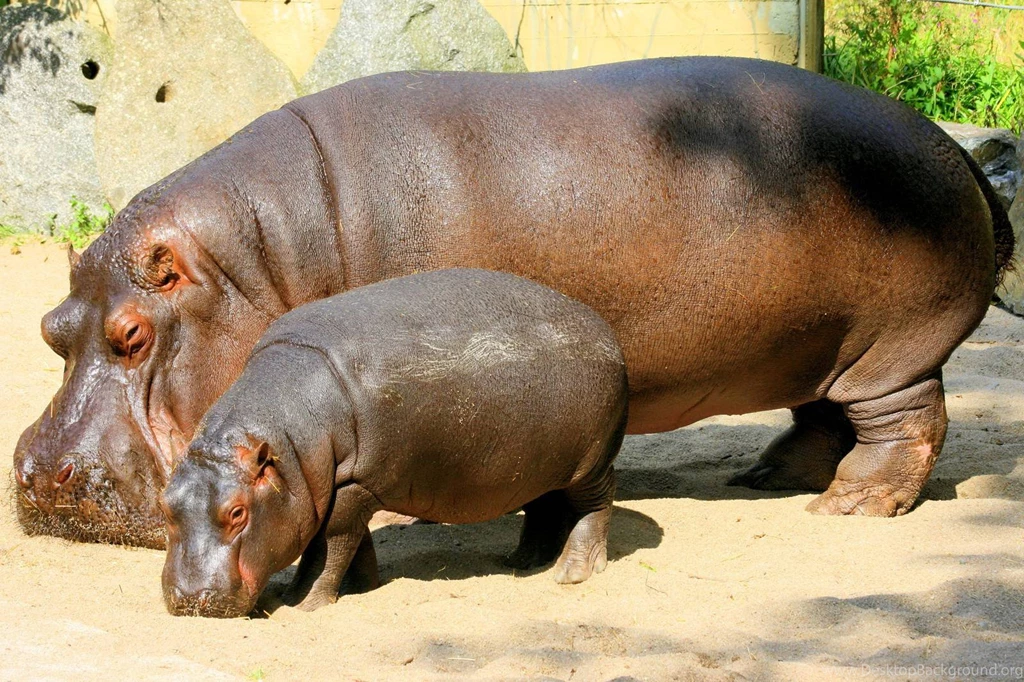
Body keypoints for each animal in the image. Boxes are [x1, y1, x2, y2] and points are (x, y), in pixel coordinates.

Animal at [14, 56, 1015, 547]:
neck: (261, 256)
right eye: (51, 329)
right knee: (822, 415)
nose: (32, 474)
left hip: (892, 347)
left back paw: (848, 509)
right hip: (815, 341)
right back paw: (768, 475)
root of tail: (963, 153)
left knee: (906, 424)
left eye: (131, 334)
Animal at [160, 269, 627, 617]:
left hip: (591, 463)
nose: (187, 601)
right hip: (540, 465)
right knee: (543, 507)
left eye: (237, 512)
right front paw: (362, 586)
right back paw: (521, 563)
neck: (287, 445)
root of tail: (606, 330)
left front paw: (302, 603)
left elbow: (327, 545)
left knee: (595, 505)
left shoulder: (352, 484)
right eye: (165, 504)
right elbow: (351, 541)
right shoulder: (339, 487)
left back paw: (573, 572)